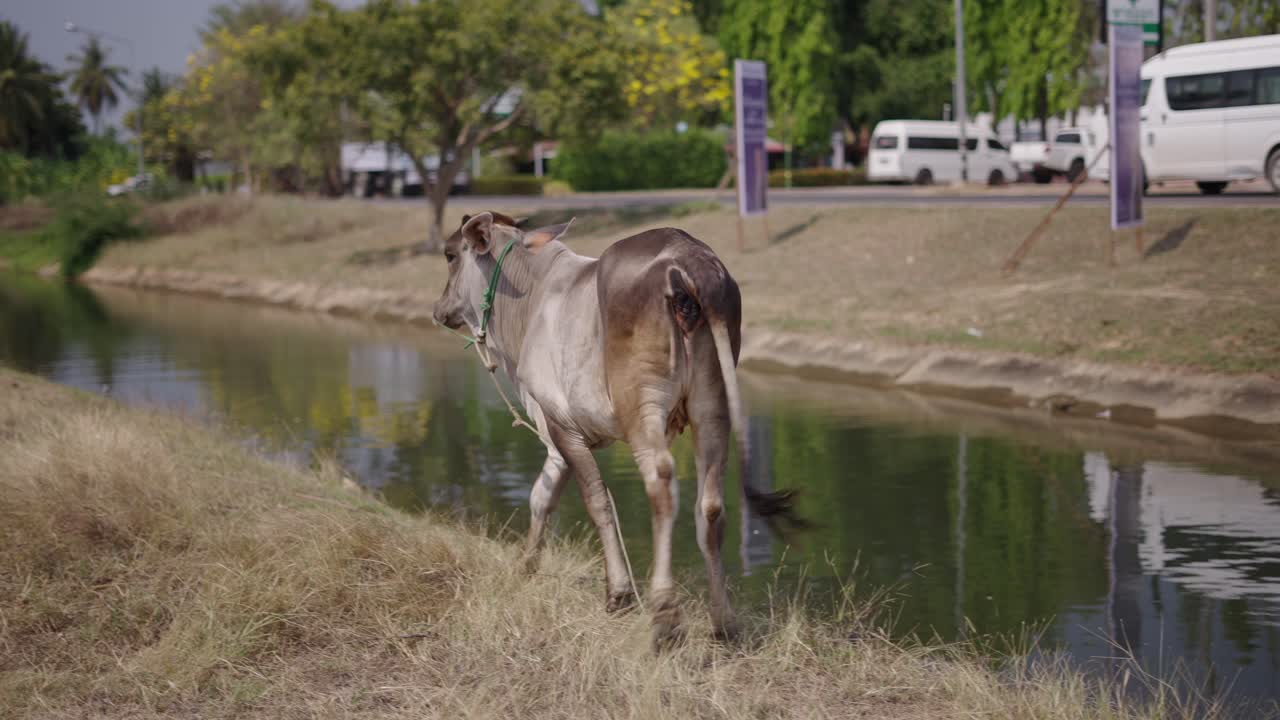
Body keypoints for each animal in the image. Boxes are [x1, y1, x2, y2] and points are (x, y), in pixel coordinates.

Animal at [431, 211, 802, 647]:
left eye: (450, 255)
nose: (439, 309)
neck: (531, 298)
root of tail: (688, 259)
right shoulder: (559, 437)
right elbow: (542, 496)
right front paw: (526, 566)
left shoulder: (560, 424)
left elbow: (597, 502)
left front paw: (619, 592)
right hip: (712, 405)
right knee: (710, 505)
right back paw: (723, 622)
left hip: (643, 405)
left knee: (662, 484)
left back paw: (665, 617)